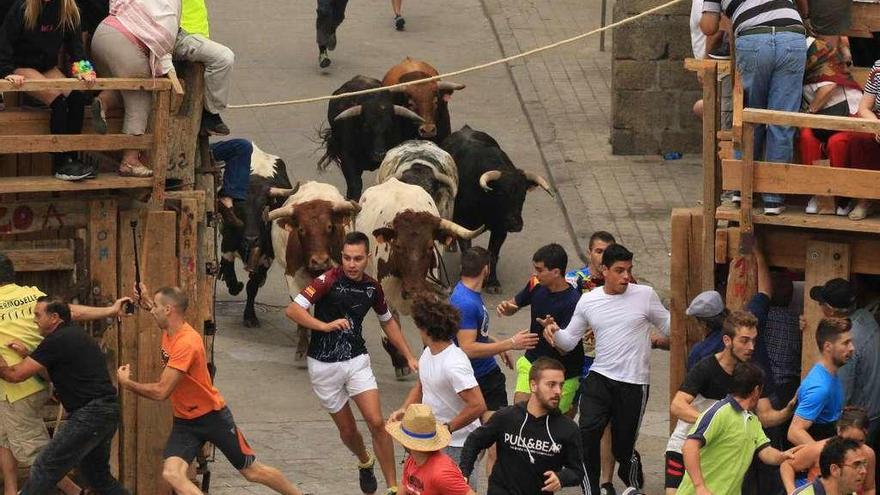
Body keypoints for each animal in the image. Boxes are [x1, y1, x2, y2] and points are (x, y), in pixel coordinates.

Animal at [356, 180, 482, 378]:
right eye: (398, 246)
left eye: (430, 246)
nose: (414, 289)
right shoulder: (385, 297)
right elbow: (391, 330)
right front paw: (400, 362)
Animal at [444, 126, 552, 292]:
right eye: (501, 194)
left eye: (523, 195)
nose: (515, 224)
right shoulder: (464, 224)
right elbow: (467, 251)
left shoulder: (500, 229)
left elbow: (493, 254)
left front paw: (493, 283)